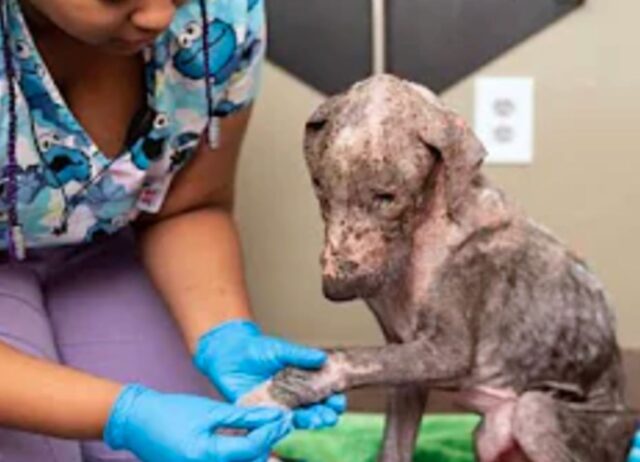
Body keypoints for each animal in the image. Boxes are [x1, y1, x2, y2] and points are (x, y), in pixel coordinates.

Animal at [240, 74, 636, 462]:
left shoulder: (446, 350)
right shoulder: (405, 361)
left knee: (535, 412)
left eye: (387, 197)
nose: (336, 290)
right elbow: (393, 443)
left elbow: (348, 358)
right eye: (319, 187)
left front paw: (271, 392)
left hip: (539, 413)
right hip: (488, 436)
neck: (421, 232)